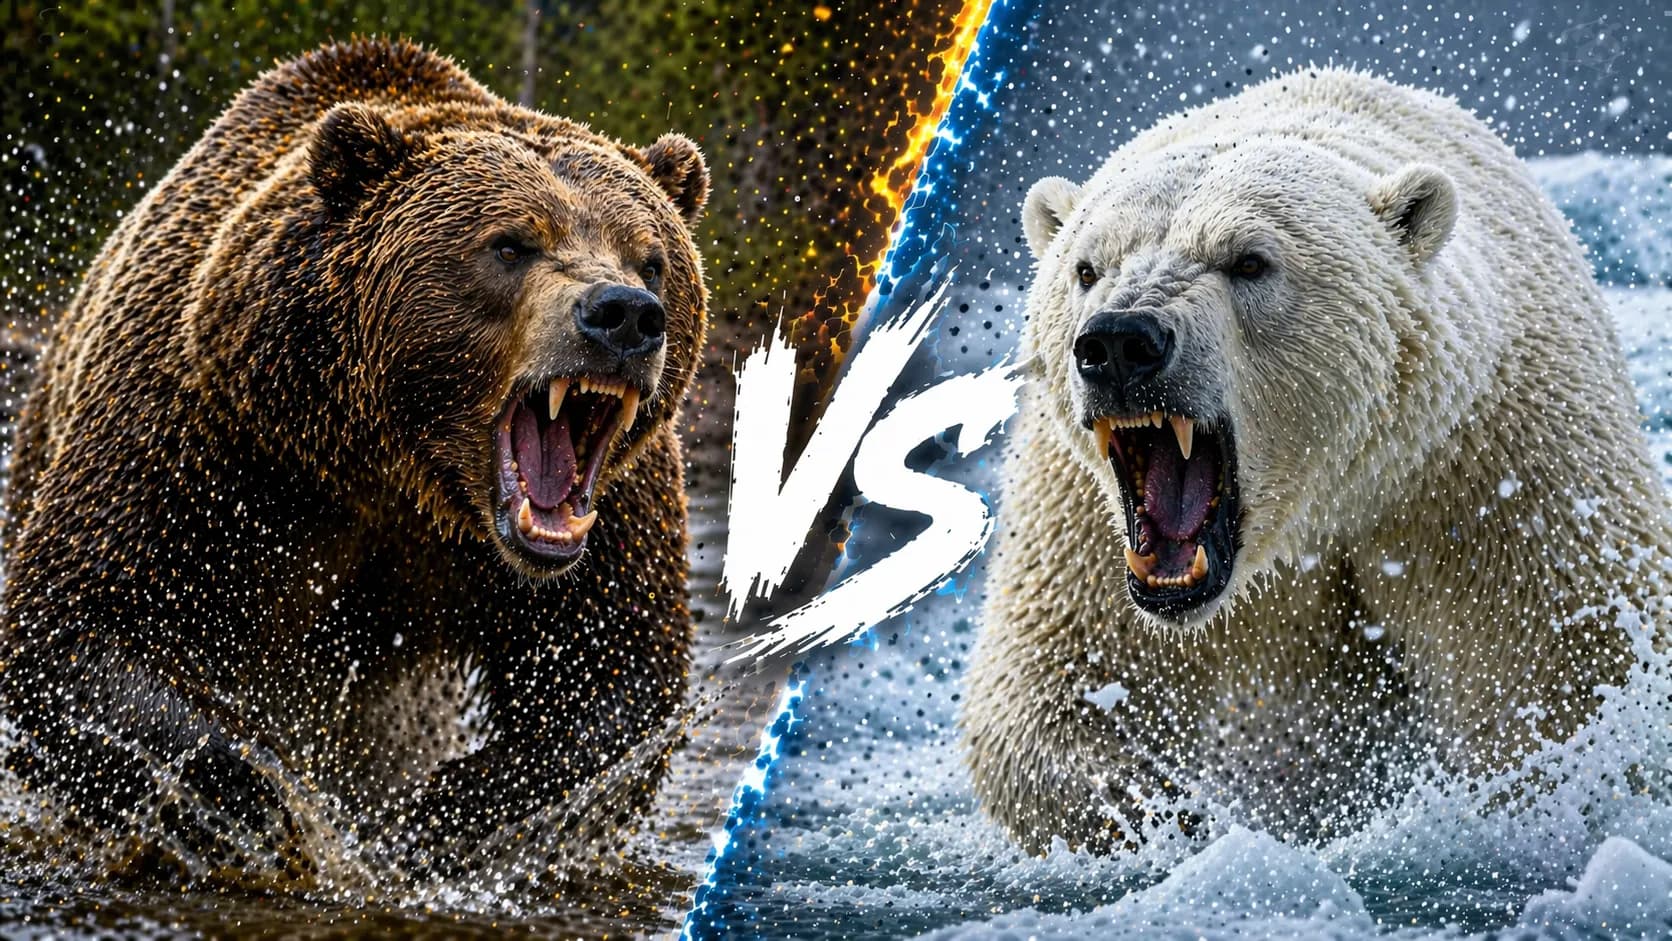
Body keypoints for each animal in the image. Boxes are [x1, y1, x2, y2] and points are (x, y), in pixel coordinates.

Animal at [0, 38, 709, 879]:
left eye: (653, 257)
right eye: (510, 243)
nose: (623, 315)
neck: (389, 459)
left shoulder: (614, 512)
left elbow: (608, 676)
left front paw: (431, 818)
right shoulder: (202, 435)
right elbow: (81, 630)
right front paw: (268, 800)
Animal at [963, 68, 1672, 854]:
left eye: (1248, 261)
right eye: (1087, 267)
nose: (1120, 342)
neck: (1317, 505)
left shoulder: (1492, 470)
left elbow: (1567, 665)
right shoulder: (1079, 518)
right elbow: (1058, 676)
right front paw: (1145, 804)